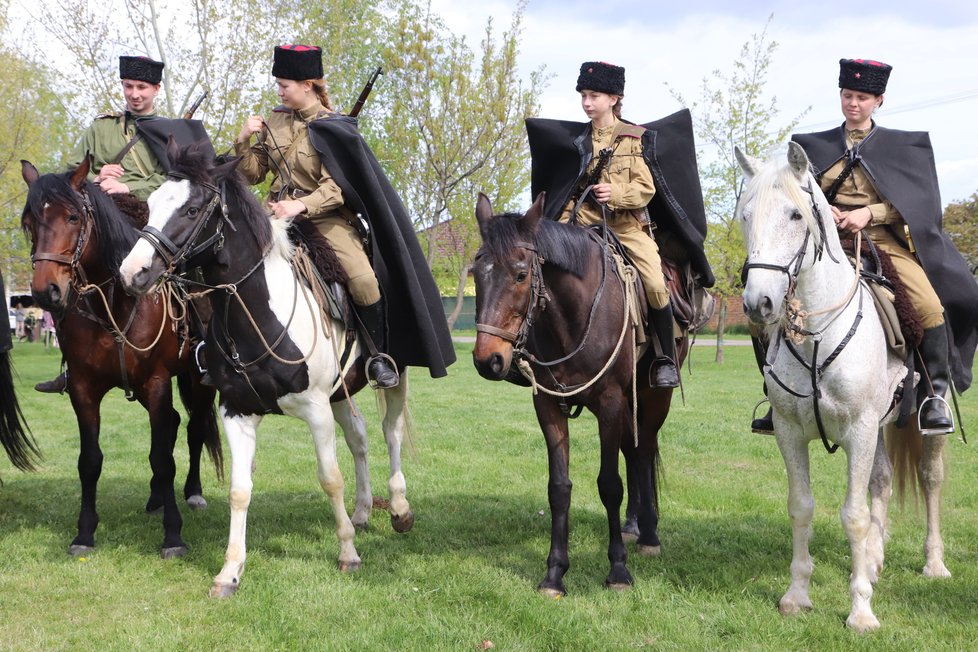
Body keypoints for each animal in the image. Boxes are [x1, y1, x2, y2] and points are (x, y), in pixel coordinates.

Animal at [21, 157, 223, 556]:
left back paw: (192, 493)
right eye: (30, 221)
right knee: (174, 425)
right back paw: (156, 497)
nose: (45, 291)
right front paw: (84, 533)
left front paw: (173, 535)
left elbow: (164, 457)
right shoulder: (83, 389)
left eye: (72, 217)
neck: (116, 300)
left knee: (192, 430)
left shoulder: (157, 382)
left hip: (196, 380)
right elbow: (90, 461)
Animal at [118, 141, 412, 596]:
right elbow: (240, 490)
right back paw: (363, 511)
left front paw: (347, 554)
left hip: (394, 376)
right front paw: (230, 571)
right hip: (340, 393)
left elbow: (330, 478)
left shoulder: (315, 410)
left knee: (390, 432)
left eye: (191, 209)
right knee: (360, 437)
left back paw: (398, 508)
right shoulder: (236, 412)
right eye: (150, 206)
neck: (257, 313)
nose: (132, 273)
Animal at [470, 194, 688, 596]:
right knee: (633, 451)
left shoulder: (611, 403)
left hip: (652, 400)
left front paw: (618, 569)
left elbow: (610, 485)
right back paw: (633, 525)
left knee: (643, 451)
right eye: (476, 273)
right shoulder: (547, 404)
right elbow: (559, 487)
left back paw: (648, 534)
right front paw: (555, 573)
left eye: (521, 274)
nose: (487, 359)